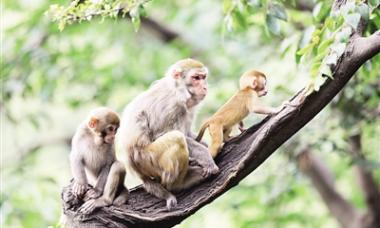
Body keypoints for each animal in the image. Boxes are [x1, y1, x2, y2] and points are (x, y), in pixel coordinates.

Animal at [119, 58, 220, 210]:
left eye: (203, 77)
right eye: (196, 78)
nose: (204, 87)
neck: (178, 90)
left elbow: (188, 133)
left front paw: (206, 146)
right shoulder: (171, 106)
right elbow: (161, 134)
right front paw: (206, 157)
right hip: (147, 159)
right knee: (176, 138)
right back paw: (179, 183)